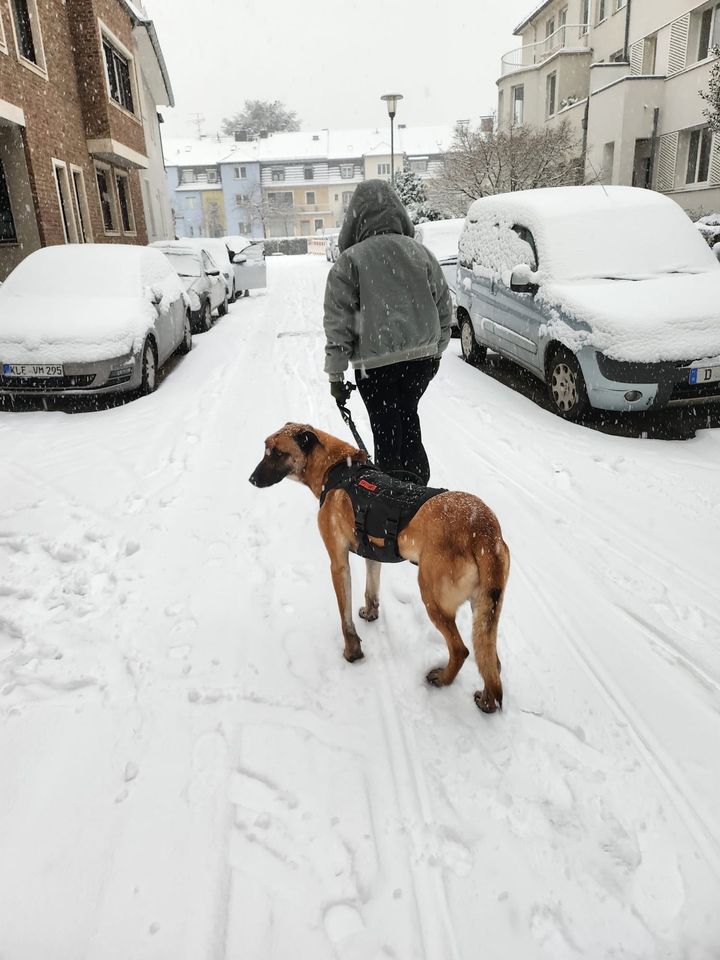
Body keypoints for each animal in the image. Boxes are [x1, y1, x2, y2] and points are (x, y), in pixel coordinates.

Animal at [250, 422, 510, 712]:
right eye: (265, 448)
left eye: (277, 452)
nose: (251, 479)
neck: (334, 467)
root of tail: (486, 531)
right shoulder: (371, 555)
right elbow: (371, 590)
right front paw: (371, 613)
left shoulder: (338, 563)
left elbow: (345, 617)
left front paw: (352, 651)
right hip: (485, 609)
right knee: (492, 661)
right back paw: (487, 701)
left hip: (434, 598)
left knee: (461, 650)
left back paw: (443, 678)